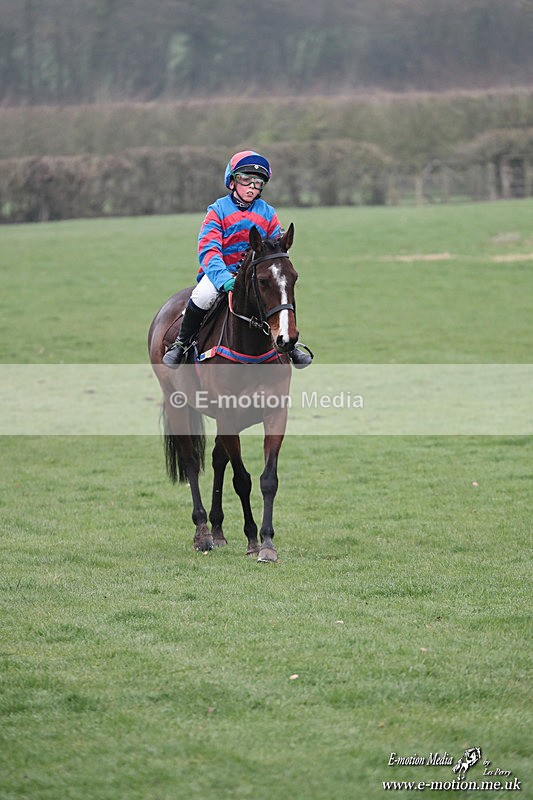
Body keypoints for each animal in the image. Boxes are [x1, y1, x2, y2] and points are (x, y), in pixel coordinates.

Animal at [148, 223, 299, 562]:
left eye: (294, 277)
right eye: (263, 280)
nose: (287, 339)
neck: (251, 350)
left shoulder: (274, 413)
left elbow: (268, 479)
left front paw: (267, 542)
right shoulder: (228, 416)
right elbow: (242, 479)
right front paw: (253, 539)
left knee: (217, 459)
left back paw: (217, 530)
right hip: (178, 404)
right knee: (192, 461)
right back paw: (203, 532)